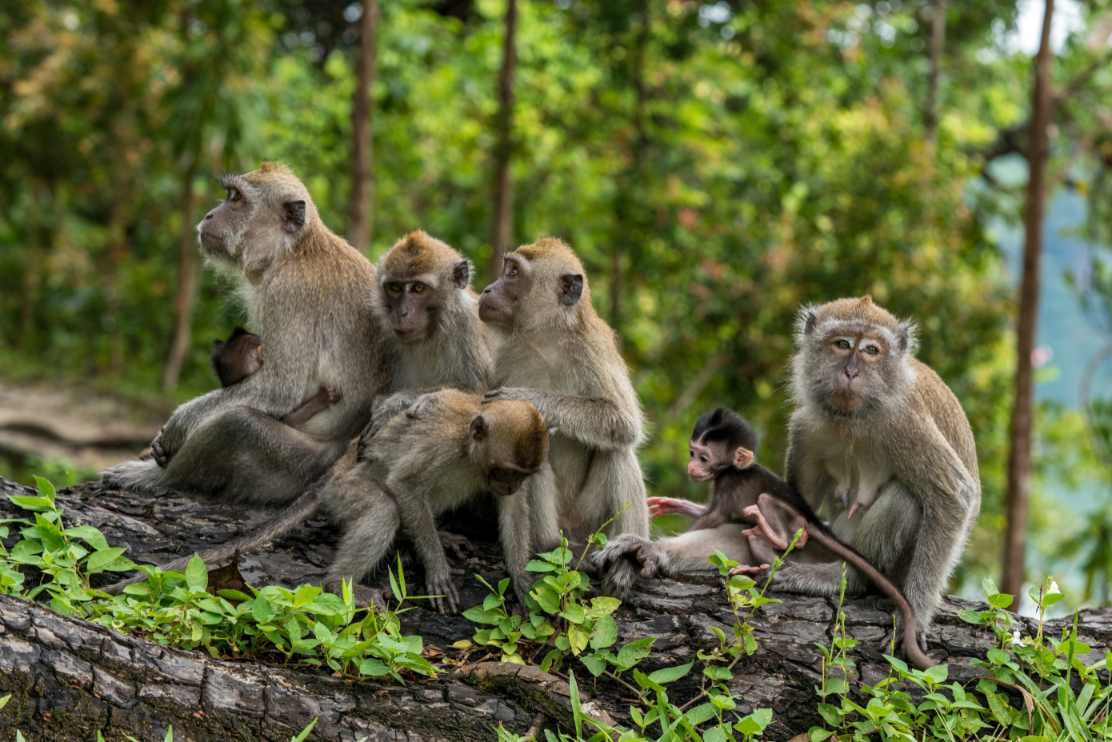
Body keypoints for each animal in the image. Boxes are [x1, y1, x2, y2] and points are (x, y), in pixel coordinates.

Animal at [478, 237, 649, 601]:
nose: (487, 289)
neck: (546, 337)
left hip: (593, 523)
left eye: (513, 272)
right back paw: (548, 546)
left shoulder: (594, 349)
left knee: (617, 450)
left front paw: (531, 398)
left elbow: (623, 422)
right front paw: (518, 569)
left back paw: (627, 558)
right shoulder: (505, 360)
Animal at [593, 406, 937, 669]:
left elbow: (711, 519)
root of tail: (814, 522)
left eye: (703, 458)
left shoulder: (729, 485)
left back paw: (771, 534)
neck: (732, 470)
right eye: (692, 453)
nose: (692, 466)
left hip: (793, 522)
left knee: (770, 515)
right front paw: (672, 505)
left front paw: (648, 546)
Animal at [766, 296, 980, 644]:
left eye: (871, 350)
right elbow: (800, 502)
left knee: (906, 498)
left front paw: (916, 617)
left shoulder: (905, 422)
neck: (854, 418)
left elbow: (954, 496)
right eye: (842, 344)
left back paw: (851, 577)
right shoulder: (805, 427)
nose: (851, 371)